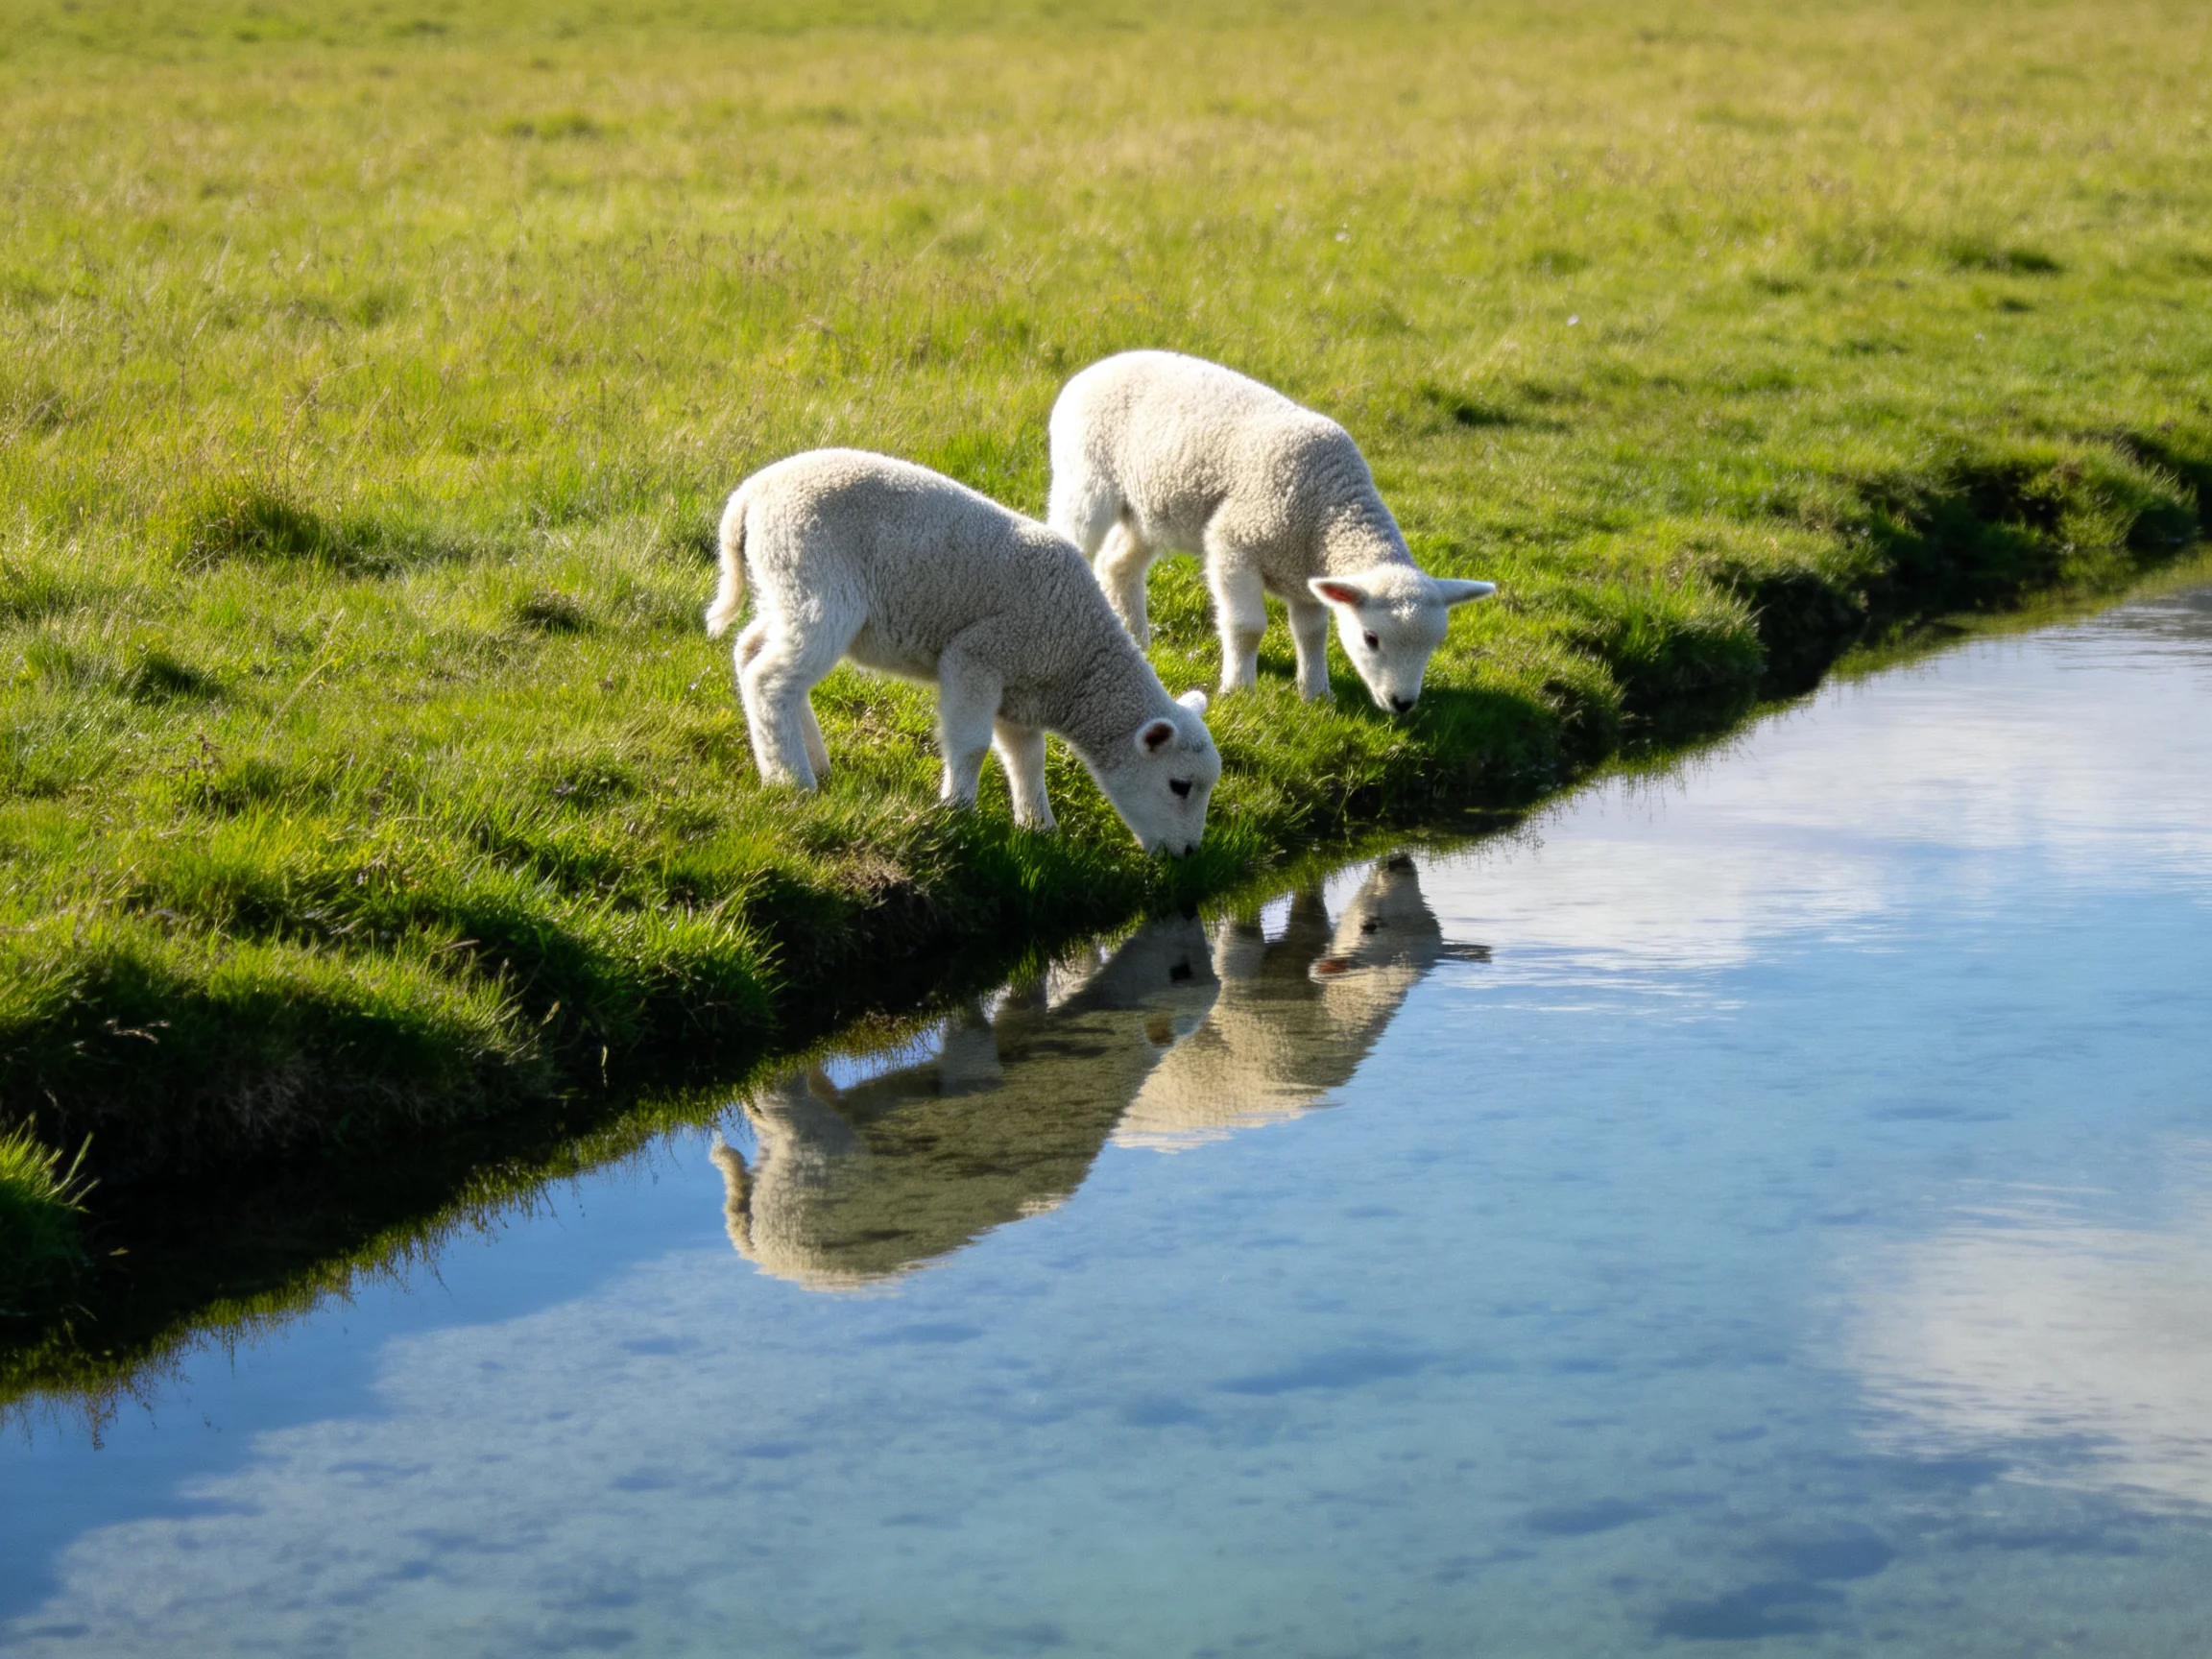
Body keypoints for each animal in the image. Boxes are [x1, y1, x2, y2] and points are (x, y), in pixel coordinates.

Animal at [703, 448, 1220, 856]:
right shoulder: (977, 656)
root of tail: (748, 498)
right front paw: (957, 812)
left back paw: (809, 761)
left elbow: (1027, 757)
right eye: (1180, 785)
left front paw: (1039, 828)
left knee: (751, 652)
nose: (1189, 854)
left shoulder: (1021, 691)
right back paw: (792, 780)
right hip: (814, 577)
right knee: (770, 679)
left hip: (783, 586)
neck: (1078, 660)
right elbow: (970, 745)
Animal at [1047, 349, 1497, 712]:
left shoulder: (1306, 576)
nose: (1403, 703)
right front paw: (1239, 691)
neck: (1331, 509)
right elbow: (1247, 627)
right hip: (1085, 477)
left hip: (1149, 508)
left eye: (1434, 644)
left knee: (1118, 564)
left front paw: (1317, 696)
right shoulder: (1234, 543)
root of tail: (1096, 368)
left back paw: (1137, 640)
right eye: (1371, 638)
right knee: (1070, 539)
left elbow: (1313, 634)